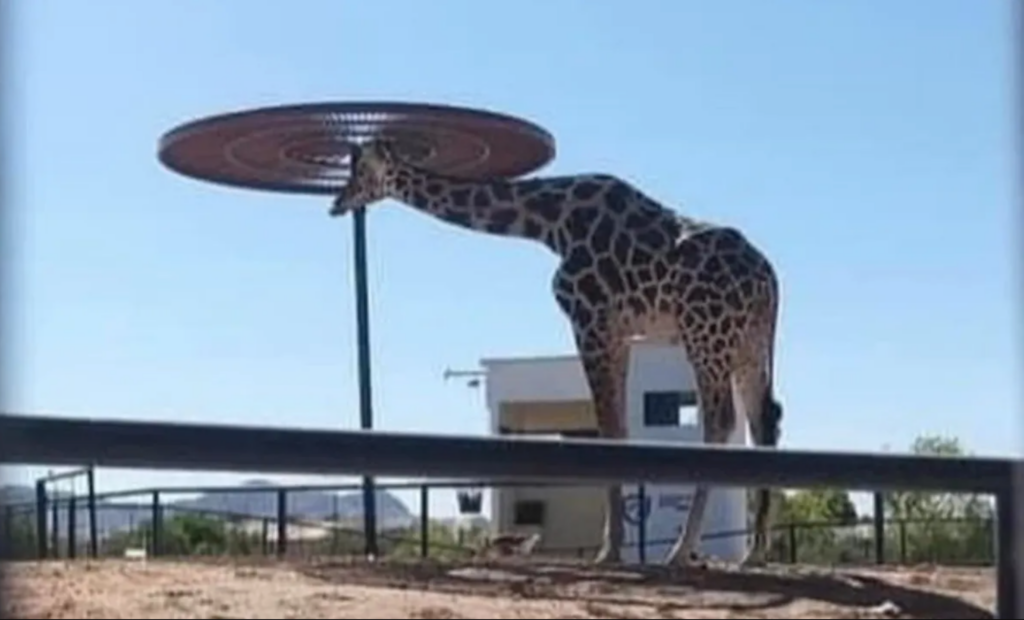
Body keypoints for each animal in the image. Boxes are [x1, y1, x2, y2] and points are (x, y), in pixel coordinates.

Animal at [330, 138, 784, 567]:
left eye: (361, 169)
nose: (338, 203)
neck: (548, 222)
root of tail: (769, 279)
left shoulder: (589, 319)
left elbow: (608, 428)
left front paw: (609, 551)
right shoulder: (618, 332)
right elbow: (619, 428)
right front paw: (613, 545)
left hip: (705, 335)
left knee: (721, 422)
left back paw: (681, 550)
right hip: (748, 344)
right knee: (764, 421)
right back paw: (754, 552)